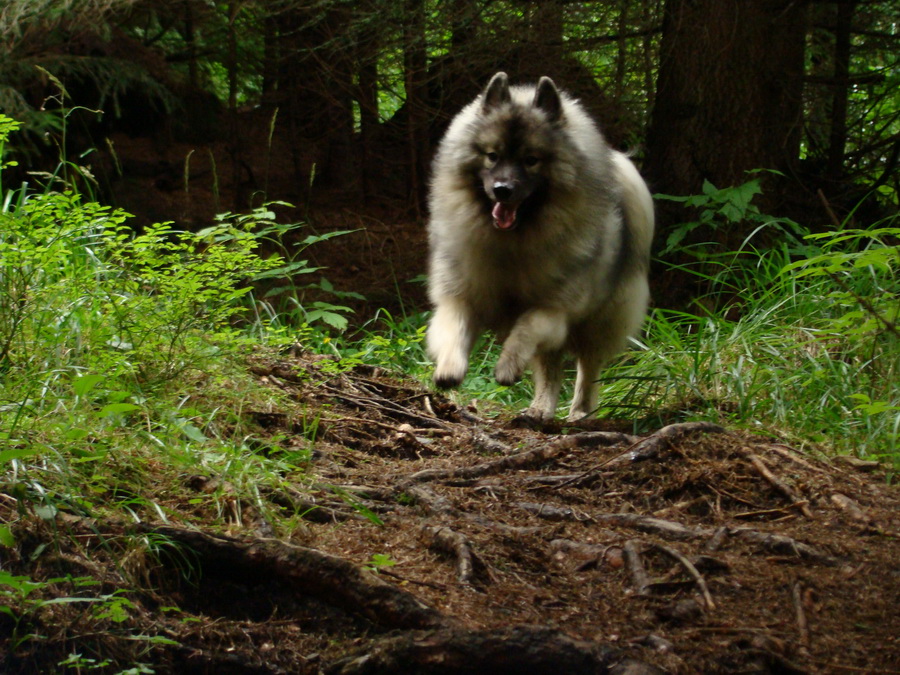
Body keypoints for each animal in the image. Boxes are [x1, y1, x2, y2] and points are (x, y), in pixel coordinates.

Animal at [426, 74, 652, 422]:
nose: (502, 189)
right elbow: (454, 329)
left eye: (531, 160)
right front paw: (449, 368)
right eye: (492, 155)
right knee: (551, 372)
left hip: (599, 322)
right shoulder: (460, 296)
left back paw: (579, 411)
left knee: (587, 368)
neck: (511, 242)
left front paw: (506, 365)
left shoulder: (553, 309)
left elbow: (525, 330)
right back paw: (540, 409)